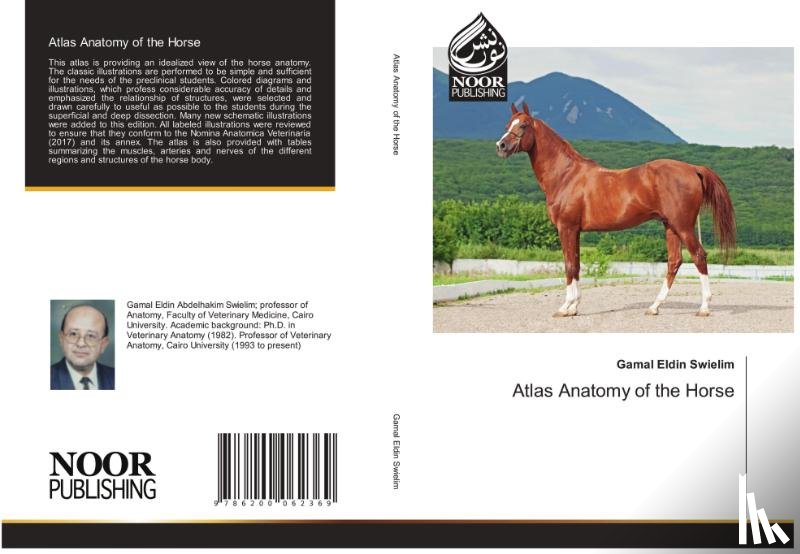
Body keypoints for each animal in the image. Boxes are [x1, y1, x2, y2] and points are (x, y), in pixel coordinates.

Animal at [496, 102, 735, 317]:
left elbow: (569, 265)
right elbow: (577, 264)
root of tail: (693, 169)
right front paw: (574, 307)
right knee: (674, 262)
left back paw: (703, 308)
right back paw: (654, 307)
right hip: (671, 227)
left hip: (683, 226)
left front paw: (565, 307)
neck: (566, 176)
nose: (501, 146)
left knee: (699, 256)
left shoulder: (567, 228)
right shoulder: (576, 231)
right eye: (508, 123)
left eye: (524, 125)